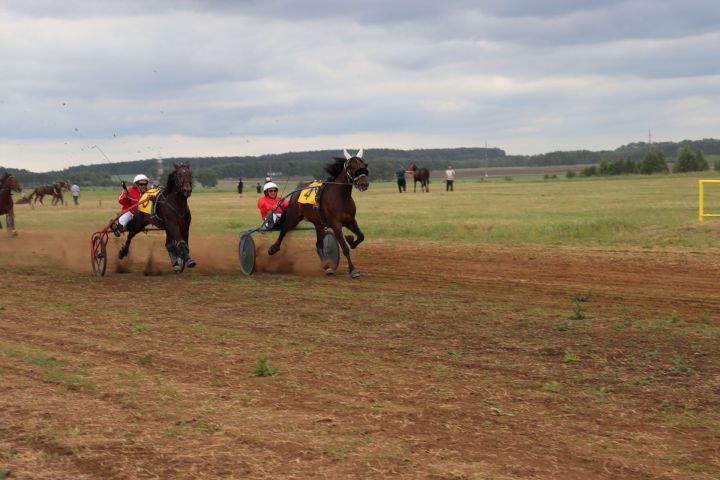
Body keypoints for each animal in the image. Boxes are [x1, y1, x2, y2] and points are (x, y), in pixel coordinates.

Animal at [270, 149, 372, 278]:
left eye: (365, 165)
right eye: (351, 166)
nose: (364, 184)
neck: (340, 197)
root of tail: (297, 189)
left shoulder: (351, 221)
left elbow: (361, 236)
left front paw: (351, 240)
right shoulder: (336, 225)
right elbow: (345, 248)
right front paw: (353, 270)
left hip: (318, 224)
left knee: (318, 244)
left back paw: (327, 266)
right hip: (293, 217)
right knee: (284, 230)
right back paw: (274, 248)